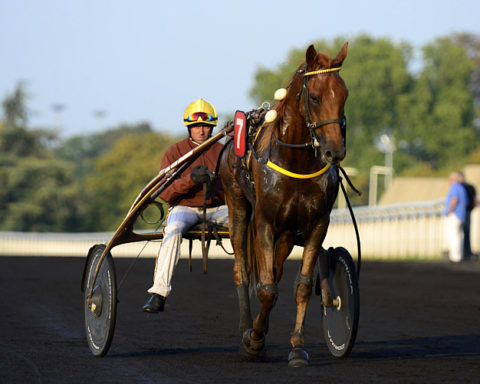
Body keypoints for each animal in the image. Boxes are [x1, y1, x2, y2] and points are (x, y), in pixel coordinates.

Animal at [220, 43, 348, 368]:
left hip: (288, 232)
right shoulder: (265, 221)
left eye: (344, 94)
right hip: (237, 204)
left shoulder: (317, 223)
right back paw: (247, 327)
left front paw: (297, 348)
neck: (296, 161)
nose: (335, 151)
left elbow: (300, 286)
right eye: (314, 96)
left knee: (275, 271)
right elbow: (265, 290)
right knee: (242, 269)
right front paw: (253, 340)